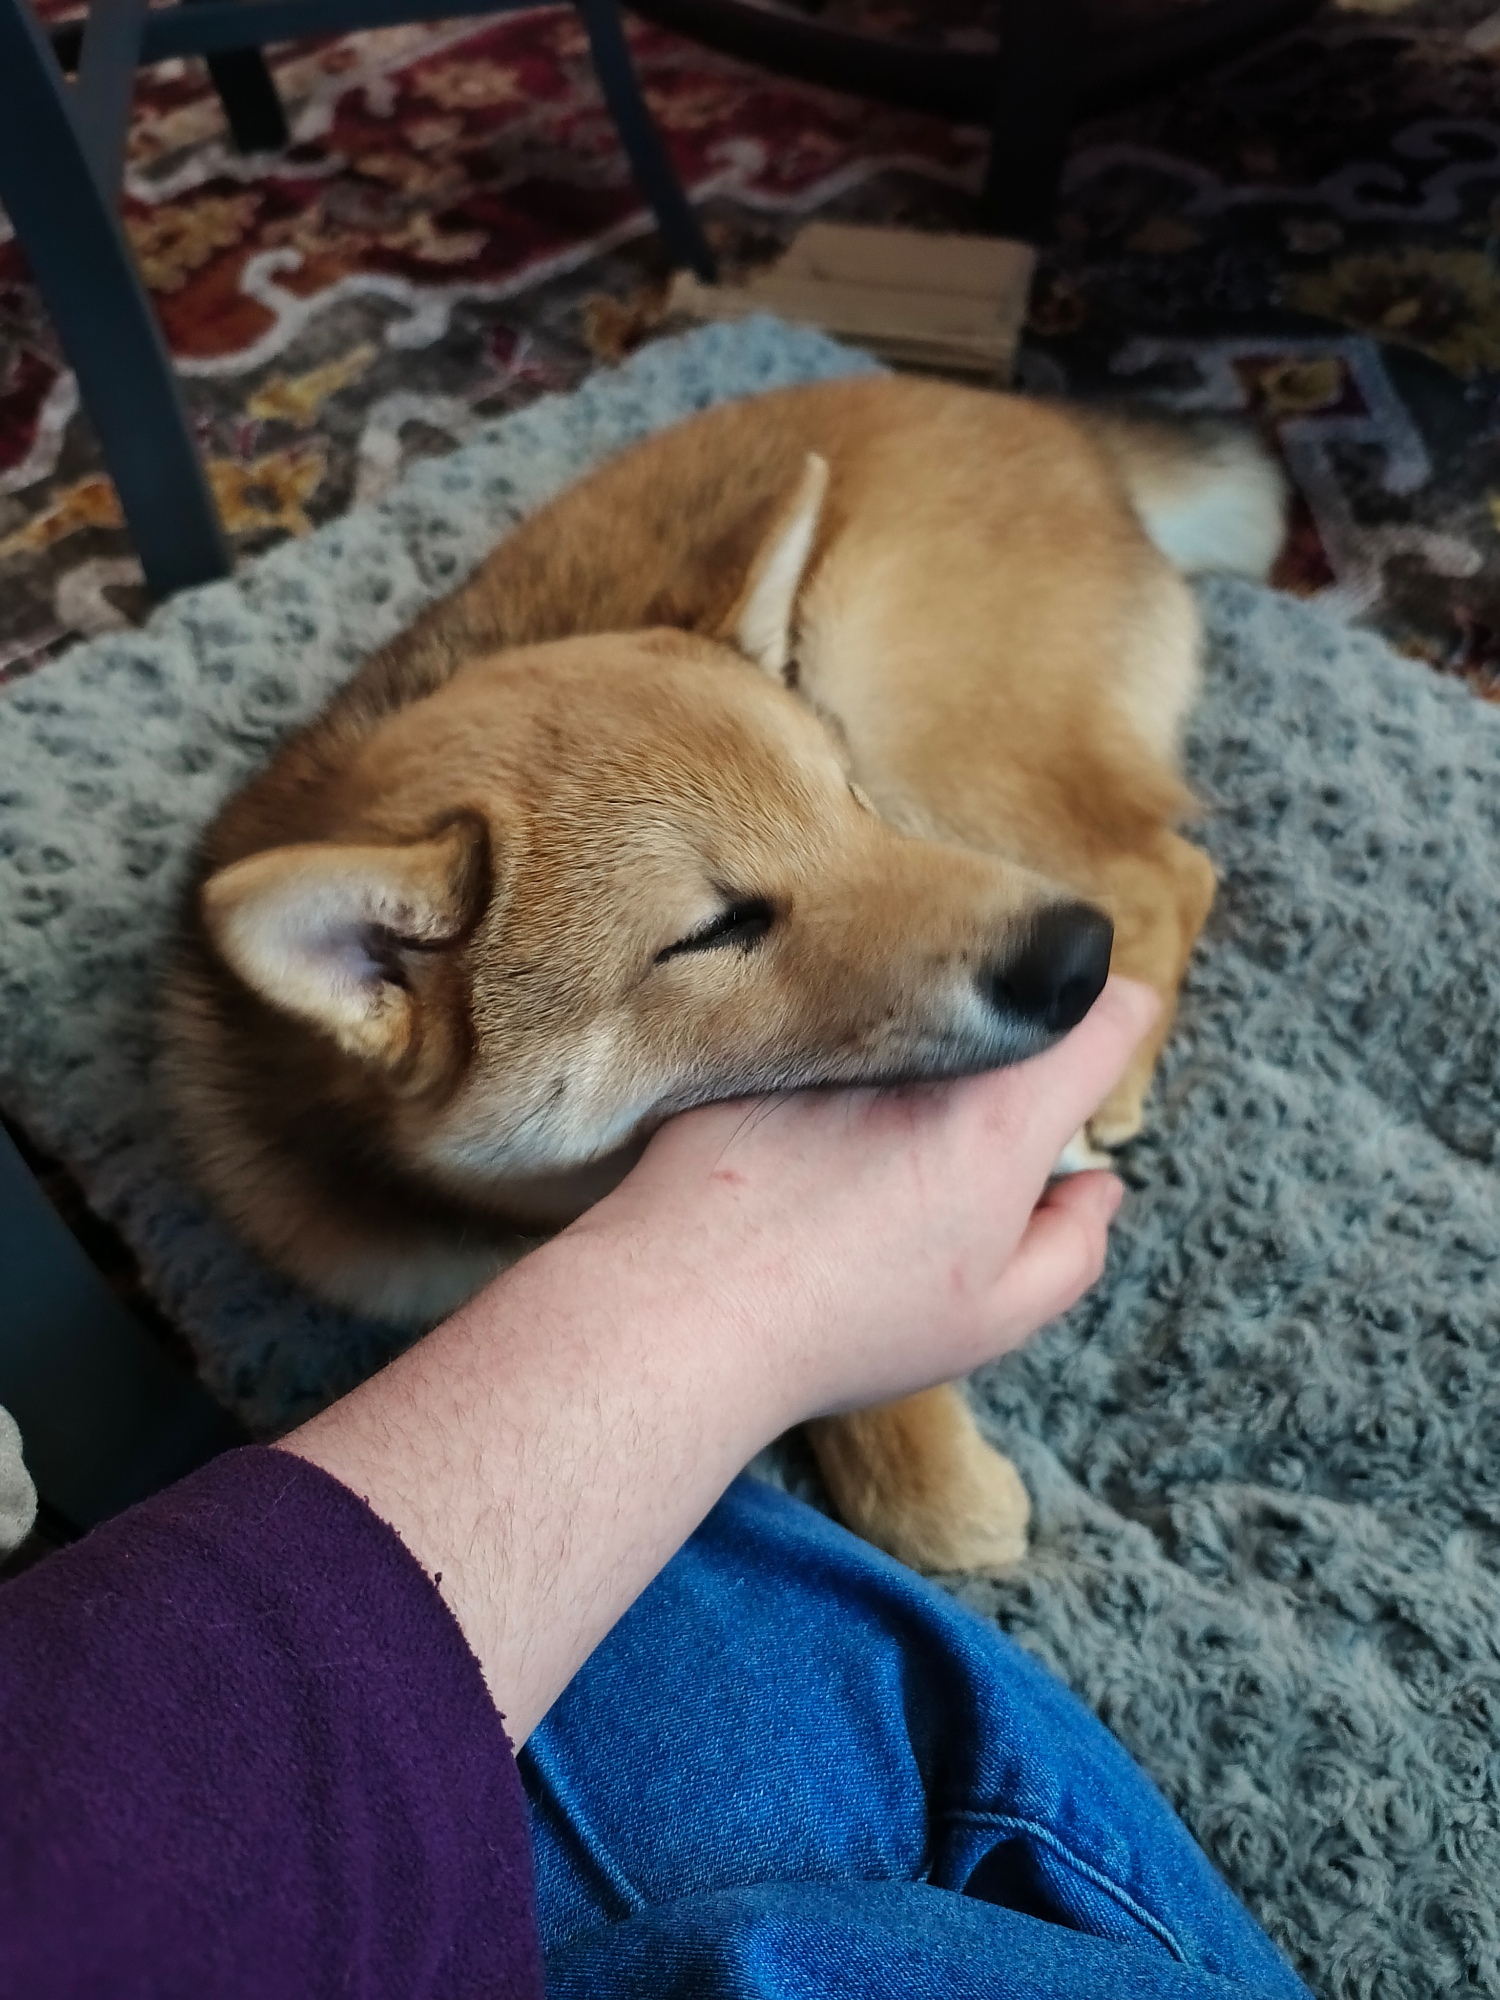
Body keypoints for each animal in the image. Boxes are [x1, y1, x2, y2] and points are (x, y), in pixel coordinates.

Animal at [162, 373, 1285, 1572]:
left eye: (850, 800)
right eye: (715, 931)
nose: (1075, 961)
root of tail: (1054, 421)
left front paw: (922, 1461)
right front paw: (915, 1456)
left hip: (915, 704)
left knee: (1165, 871)